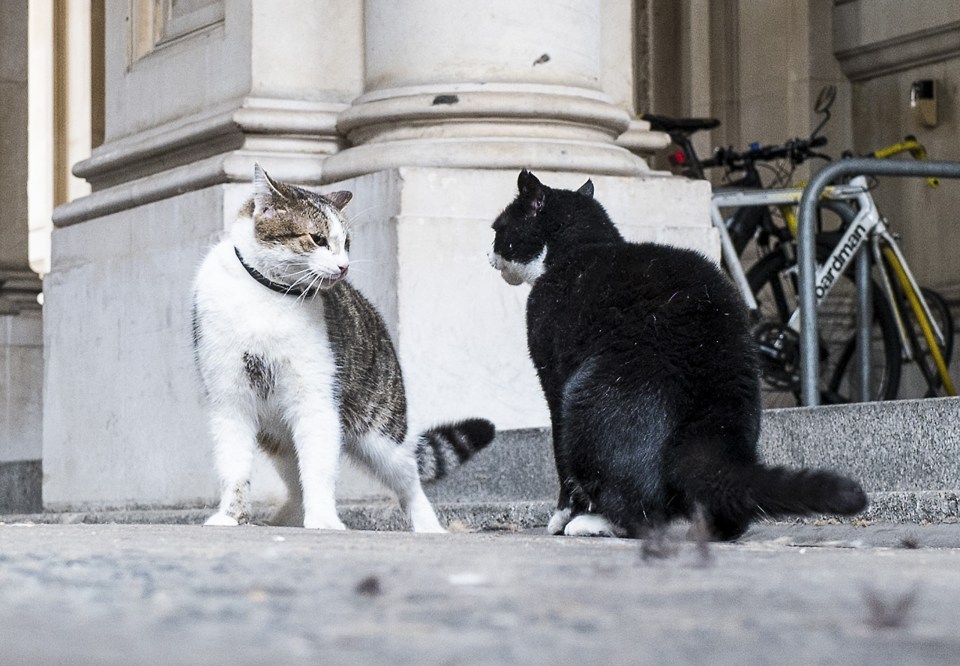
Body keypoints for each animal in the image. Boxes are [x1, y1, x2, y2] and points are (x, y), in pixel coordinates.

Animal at [194, 165, 496, 528]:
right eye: (318, 239)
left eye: (346, 243)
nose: (343, 267)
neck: (267, 295)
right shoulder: (230, 399)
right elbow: (234, 469)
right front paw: (230, 516)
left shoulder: (316, 401)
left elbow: (318, 470)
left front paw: (324, 520)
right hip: (278, 438)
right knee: (294, 481)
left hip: (381, 433)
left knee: (409, 482)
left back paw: (429, 527)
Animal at [492, 169, 868, 536]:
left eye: (497, 228)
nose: (488, 252)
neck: (579, 250)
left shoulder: (552, 376)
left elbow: (559, 456)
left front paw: (560, 517)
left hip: (583, 398)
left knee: (644, 515)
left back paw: (594, 523)